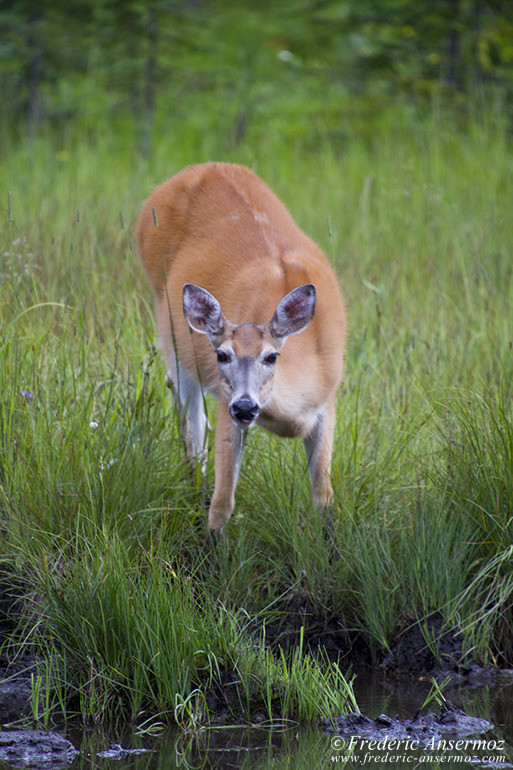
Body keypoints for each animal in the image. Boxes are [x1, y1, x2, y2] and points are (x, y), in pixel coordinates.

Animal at [135, 163, 344, 532]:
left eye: (271, 356)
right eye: (222, 355)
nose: (245, 406)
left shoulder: (327, 402)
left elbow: (324, 497)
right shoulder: (225, 402)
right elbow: (222, 502)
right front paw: (211, 542)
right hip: (170, 332)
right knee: (191, 427)